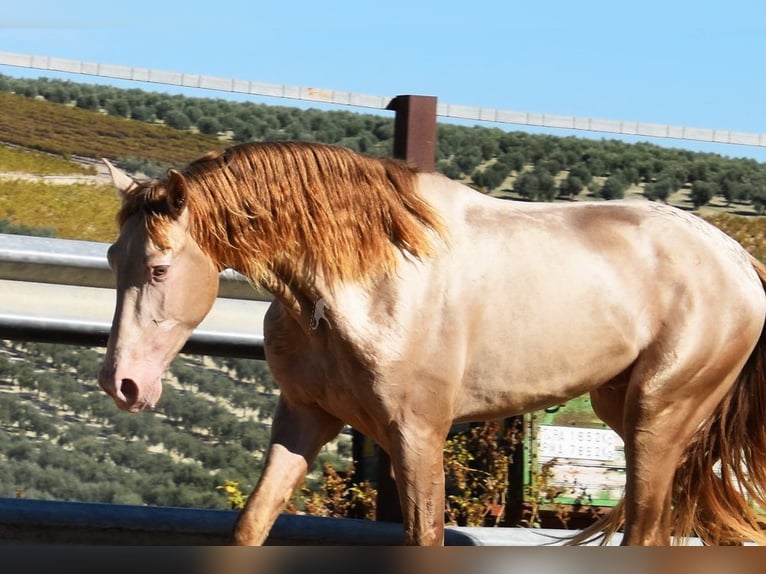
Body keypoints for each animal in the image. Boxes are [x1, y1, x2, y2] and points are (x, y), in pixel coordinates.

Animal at [102, 142, 766, 548]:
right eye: (112, 258)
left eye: (159, 269)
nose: (122, 383)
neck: (362, 283)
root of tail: (738, 260)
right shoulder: (304, 418)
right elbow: (251, 526)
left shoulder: (417, 435)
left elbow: (423, 538)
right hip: (618, 407)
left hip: (660, 417)